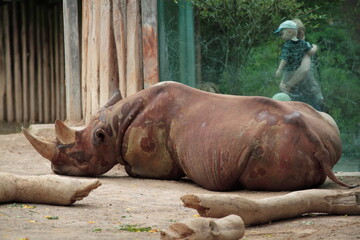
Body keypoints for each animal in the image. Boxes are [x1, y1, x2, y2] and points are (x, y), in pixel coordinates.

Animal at [23, 81, 354, 190]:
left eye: (78, 158)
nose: (56, 170)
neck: (112, 128)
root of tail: (317, 146)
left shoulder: (150, 162)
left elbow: (133, 169)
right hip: (322, 127)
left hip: (272, 146)